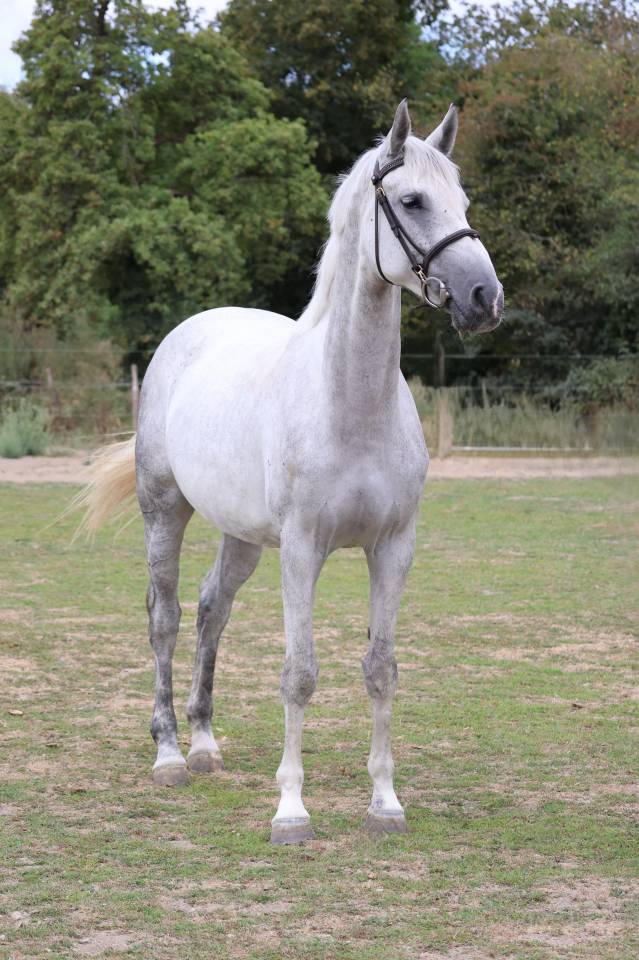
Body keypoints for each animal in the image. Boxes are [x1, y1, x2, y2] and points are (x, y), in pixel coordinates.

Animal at [80, 100, 503, 844]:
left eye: (463, 201)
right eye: (412, 201)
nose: (484, 297)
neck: (350, 404)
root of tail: (189, 332)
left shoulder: (393, 548)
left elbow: (381, 669)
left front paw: (384, 803)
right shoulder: (302, 549)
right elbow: (298, 674)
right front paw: (290, 811)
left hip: (244, 537)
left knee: (212, 610)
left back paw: (205, 745)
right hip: (165, 512)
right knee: (166, 617)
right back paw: (169, 755)